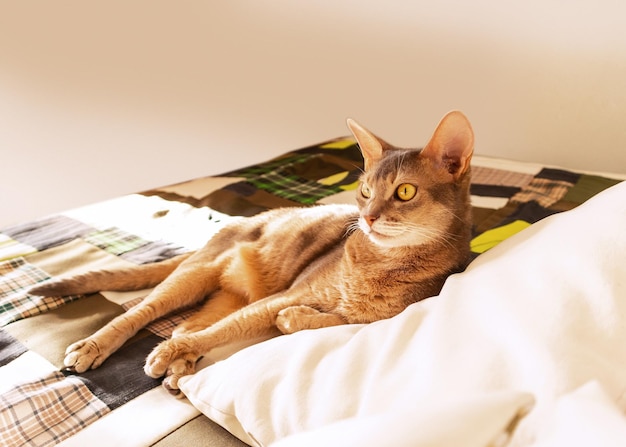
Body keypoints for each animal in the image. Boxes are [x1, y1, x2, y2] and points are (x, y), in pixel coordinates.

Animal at [26, 109, 470, 396]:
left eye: (405, 192)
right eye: (364, 191)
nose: (367, 217)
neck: (380, 265)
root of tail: (237, 222)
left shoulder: (376, 320)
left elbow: (340, 321)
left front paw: (295, 320)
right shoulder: (290, 292)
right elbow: (231, 329)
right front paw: (170, 353)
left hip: (225, 293)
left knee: (187, 327)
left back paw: (179, 367)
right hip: (197, 273)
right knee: (143, 312)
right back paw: (96, 347)